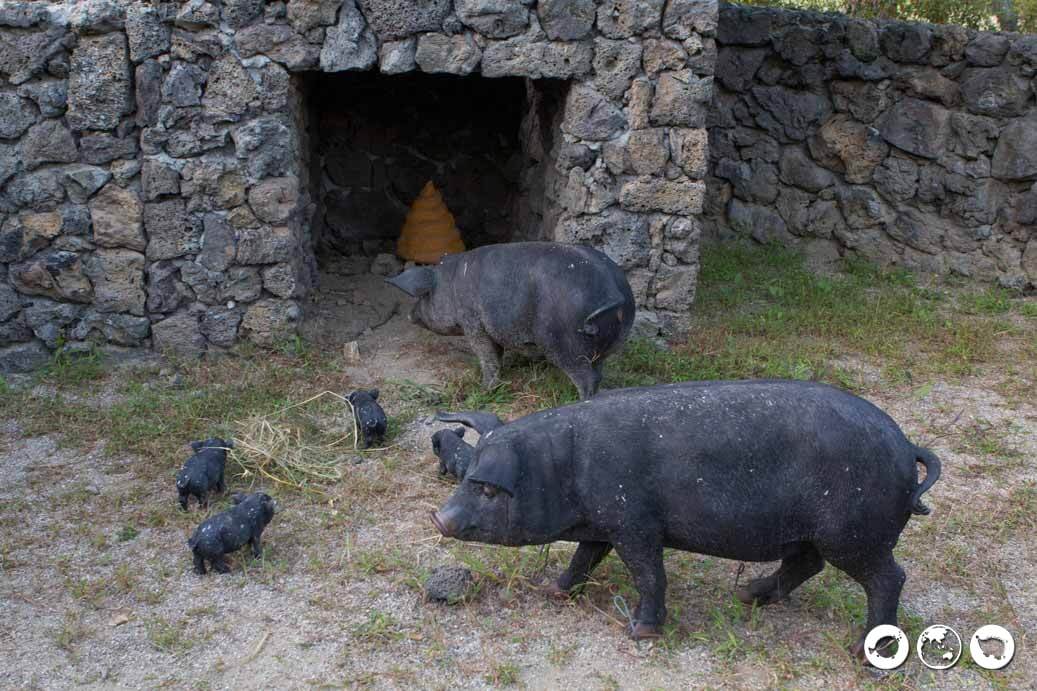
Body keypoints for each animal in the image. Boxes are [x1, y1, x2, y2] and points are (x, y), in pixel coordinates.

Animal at [385, 240, 634, 398]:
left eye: (425, 296)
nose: (409, 315)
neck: (451, 284)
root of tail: (613, 291)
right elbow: (498, 354)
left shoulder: (473, 322)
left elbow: (487, 357)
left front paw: (484, 390)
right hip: (613, 341)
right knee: (598, 371)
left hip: (564, 341)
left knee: (587, 378)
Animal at [429, 379, 941, 655]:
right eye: (466, 475)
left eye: (488, 488)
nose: (439, 519)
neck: (565, 467)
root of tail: (906, 446)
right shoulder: (606, 520)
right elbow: (584, 557)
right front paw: (553, 592)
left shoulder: (635, 521)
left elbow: (649, 574)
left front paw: (641, 633)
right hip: (815, 534)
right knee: (806, 563)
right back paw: (746, 596)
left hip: (853, 532)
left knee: (890, 577)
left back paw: (863, 653)